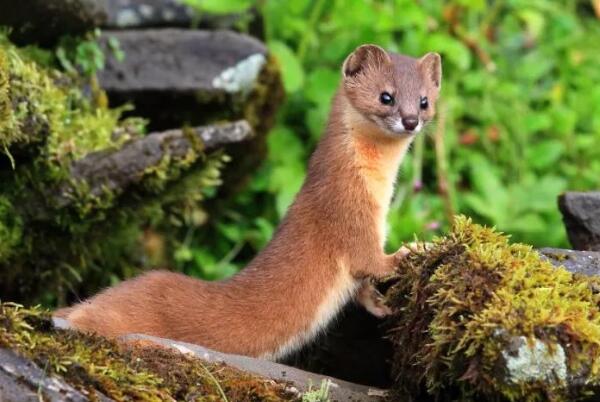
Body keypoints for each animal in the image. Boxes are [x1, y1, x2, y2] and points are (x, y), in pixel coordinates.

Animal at [55, 44, 440, 362]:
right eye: (386, 96)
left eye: (424, 101)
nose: (410, 120)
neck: (379, 193)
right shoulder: (346, 211)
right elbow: (372, 261)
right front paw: (415, 247)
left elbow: (363, 286)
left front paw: (381, 304)